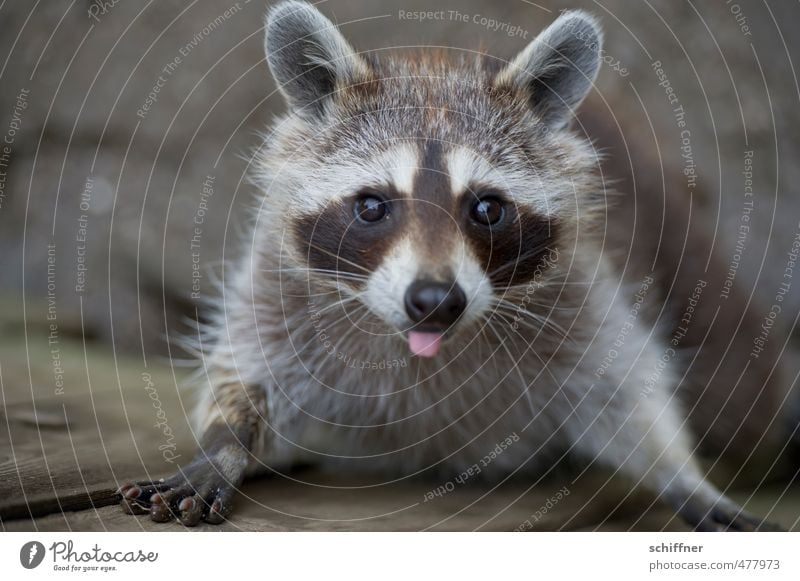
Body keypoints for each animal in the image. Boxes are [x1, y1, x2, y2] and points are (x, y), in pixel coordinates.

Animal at [119, 0, 780, 528]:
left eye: (486, 208)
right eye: (371, 206)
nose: (435, 301)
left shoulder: (582, 292)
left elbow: (625, 388)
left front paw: (679, 472)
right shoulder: (274, 292)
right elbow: (247, 377)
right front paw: (224, 442)